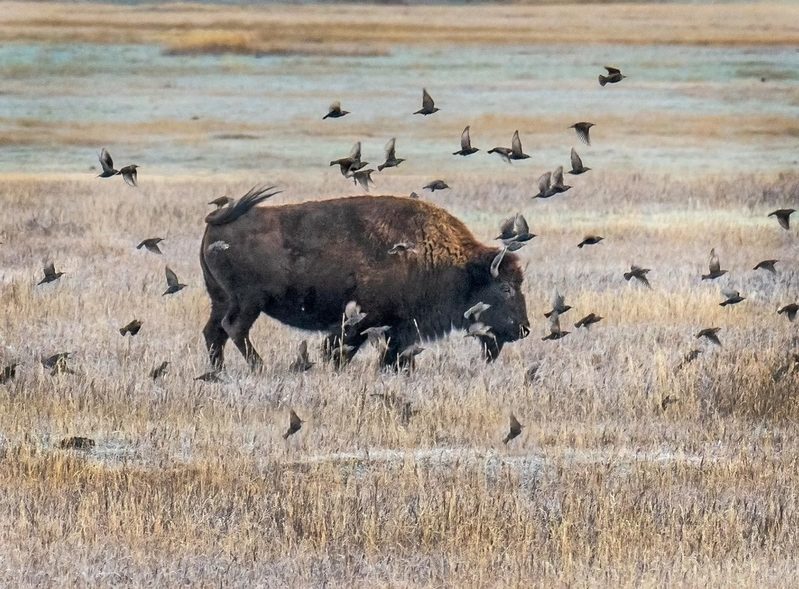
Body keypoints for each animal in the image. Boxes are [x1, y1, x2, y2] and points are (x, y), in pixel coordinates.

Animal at [200, 187, 530, 370]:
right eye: (505, 288)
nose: (524, 329)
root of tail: (217, 222)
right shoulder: (360, 323)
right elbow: (342, 350)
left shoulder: (401, 330)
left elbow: (397, 356)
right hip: (249, 302)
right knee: (234, 329)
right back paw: (259, 367)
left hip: (221, 299)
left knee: (213, 332)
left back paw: (218, 373)